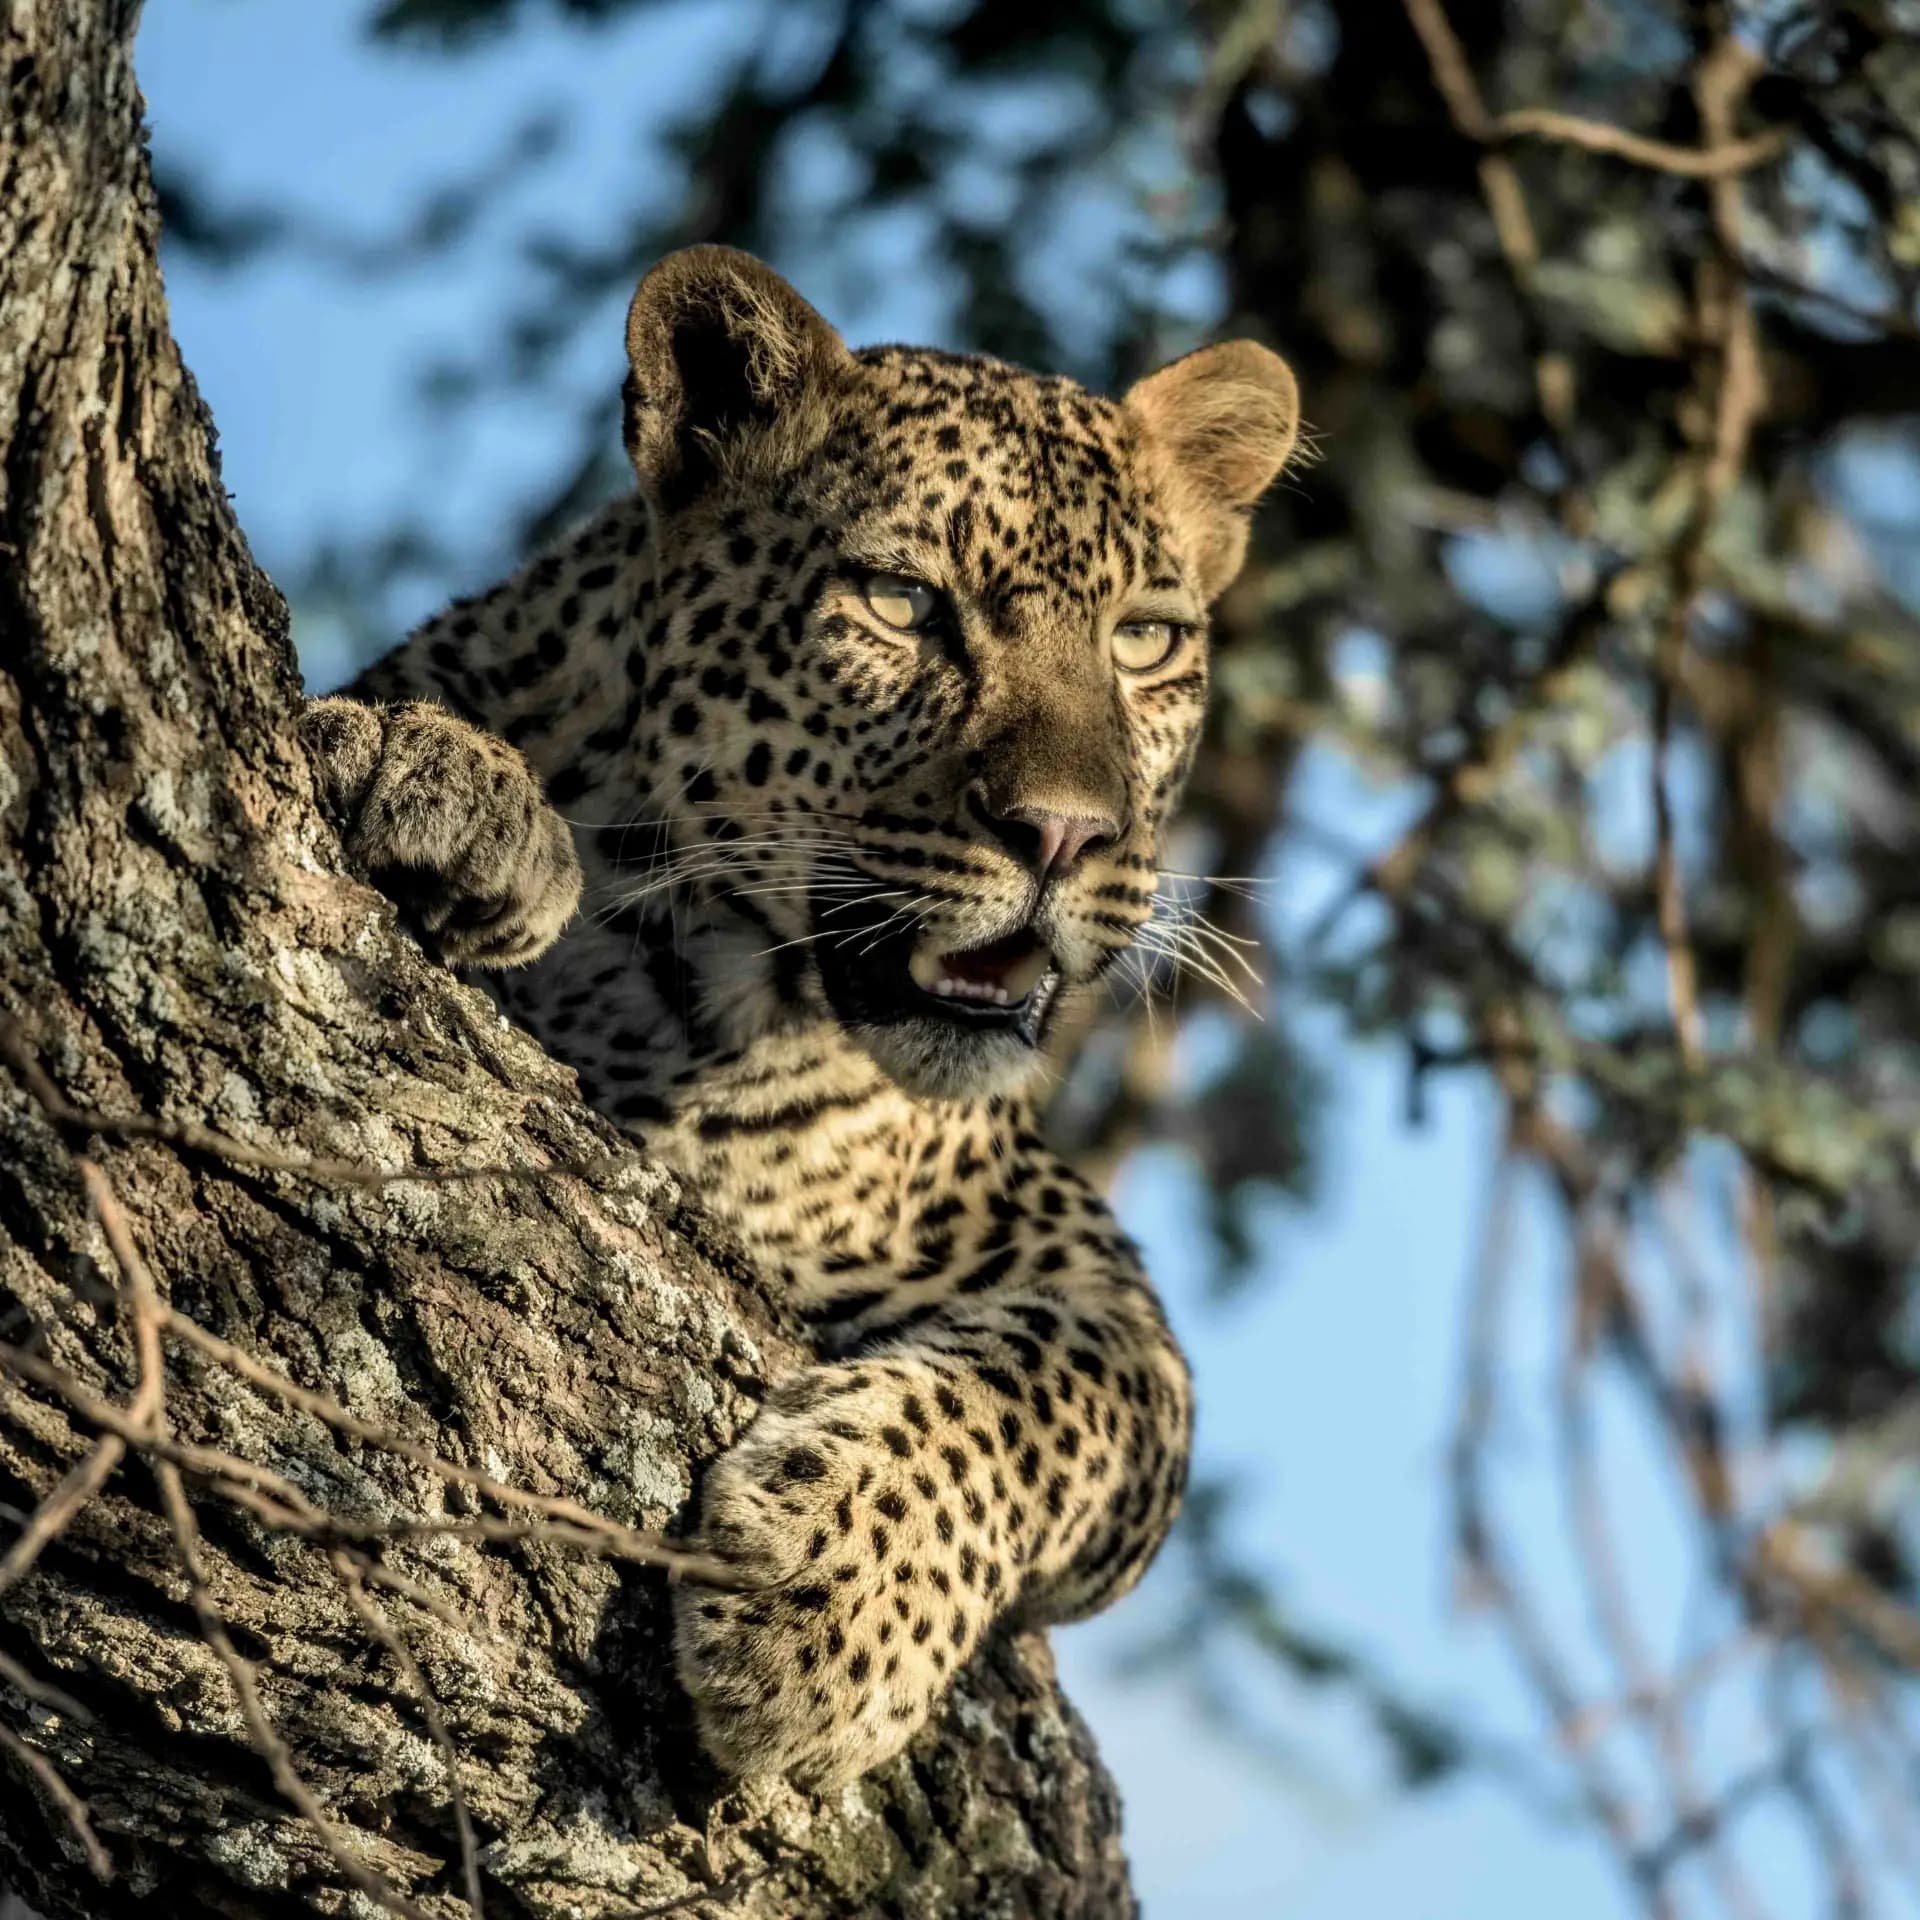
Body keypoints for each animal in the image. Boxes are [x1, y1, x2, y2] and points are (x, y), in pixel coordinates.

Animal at [301, 245, 1300, 1791]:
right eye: (900, 602)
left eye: (1145, 642)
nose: (1067, 834)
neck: (698, 1000)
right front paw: (444, 783)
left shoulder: (1101, 1293)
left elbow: (1052, 1395)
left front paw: (831, 1607)